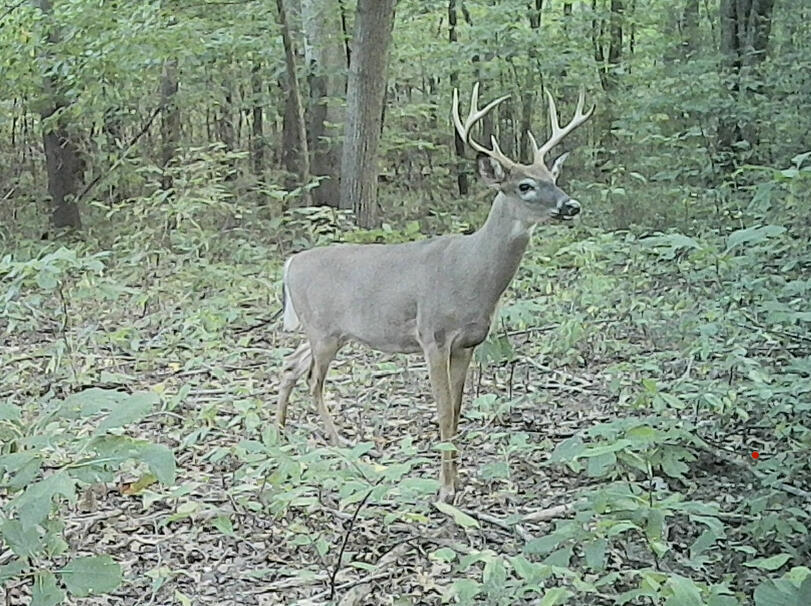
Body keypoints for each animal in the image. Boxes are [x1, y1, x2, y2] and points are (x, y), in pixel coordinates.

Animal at [277, 83, 594, 503]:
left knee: (290, 365)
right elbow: (443, 411)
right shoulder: (433, 336)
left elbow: (457, 410)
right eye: (525, 185)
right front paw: (444, 490)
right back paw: (343, 447)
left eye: (553, 177)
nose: (571, 205)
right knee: (313, 379)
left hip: (330, 332)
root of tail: (290, 264)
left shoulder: (468, 343)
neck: (471, 274)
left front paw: (456, 482)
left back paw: (278, 434)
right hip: (322, 330)